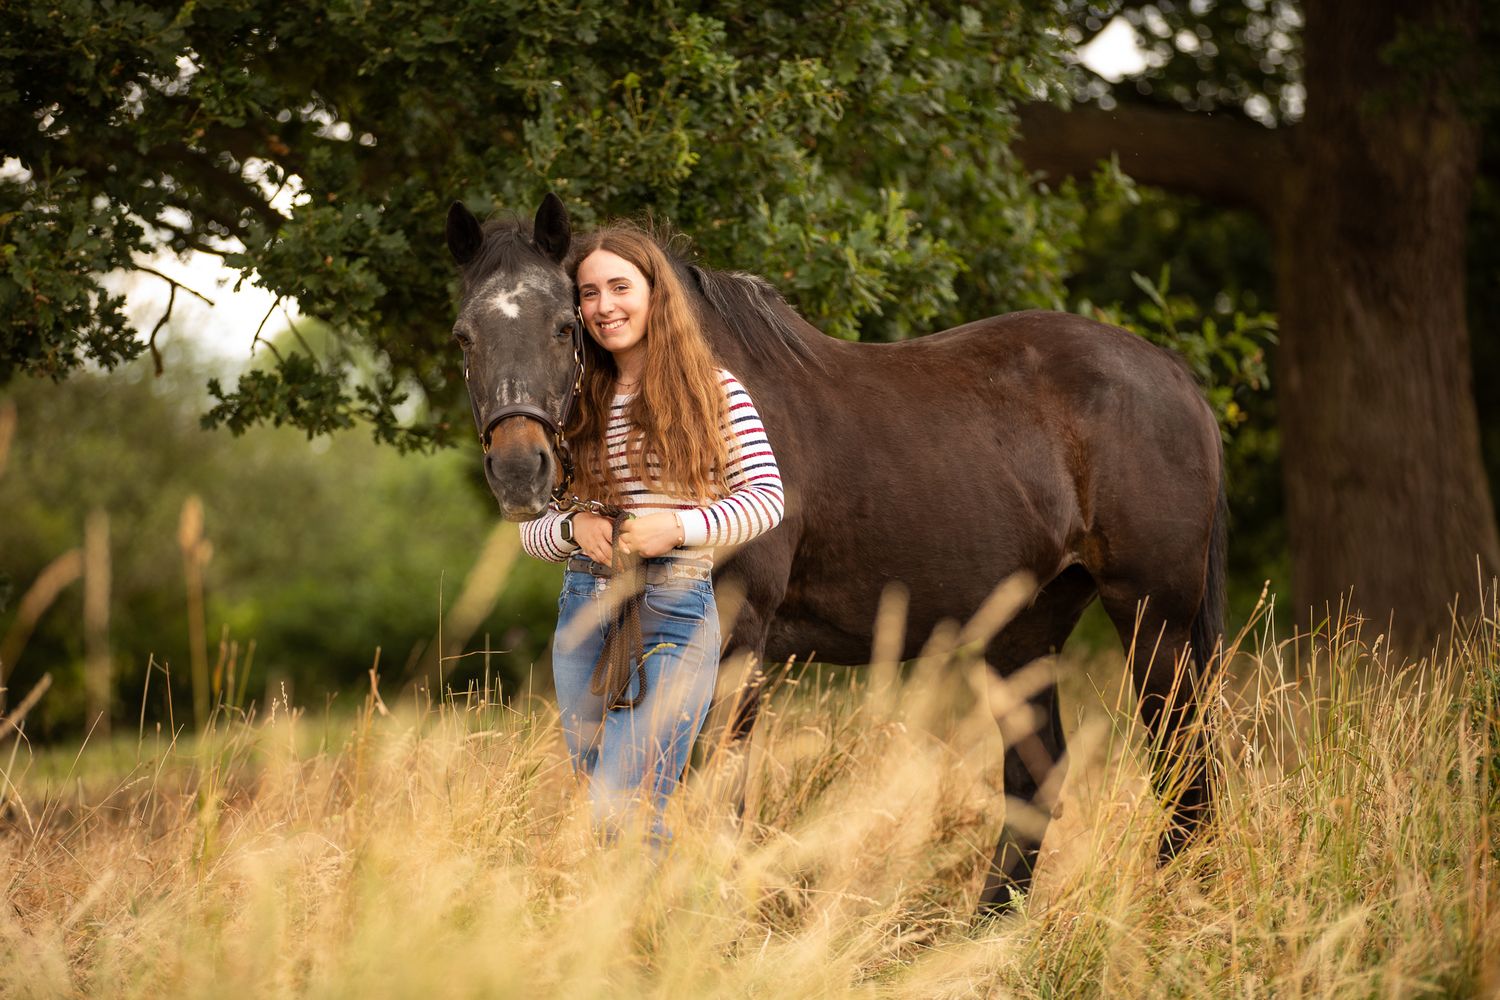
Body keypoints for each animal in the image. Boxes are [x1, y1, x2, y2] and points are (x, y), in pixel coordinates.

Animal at [445, 194, 1225, 912]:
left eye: (565, 325)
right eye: (463, 336)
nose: (519, 471)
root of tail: (1173, 374)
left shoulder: (738, 643)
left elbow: (718, 792)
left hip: (1154, 617)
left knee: (1184, 765)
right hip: (1025, 629)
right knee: (1039, 775)